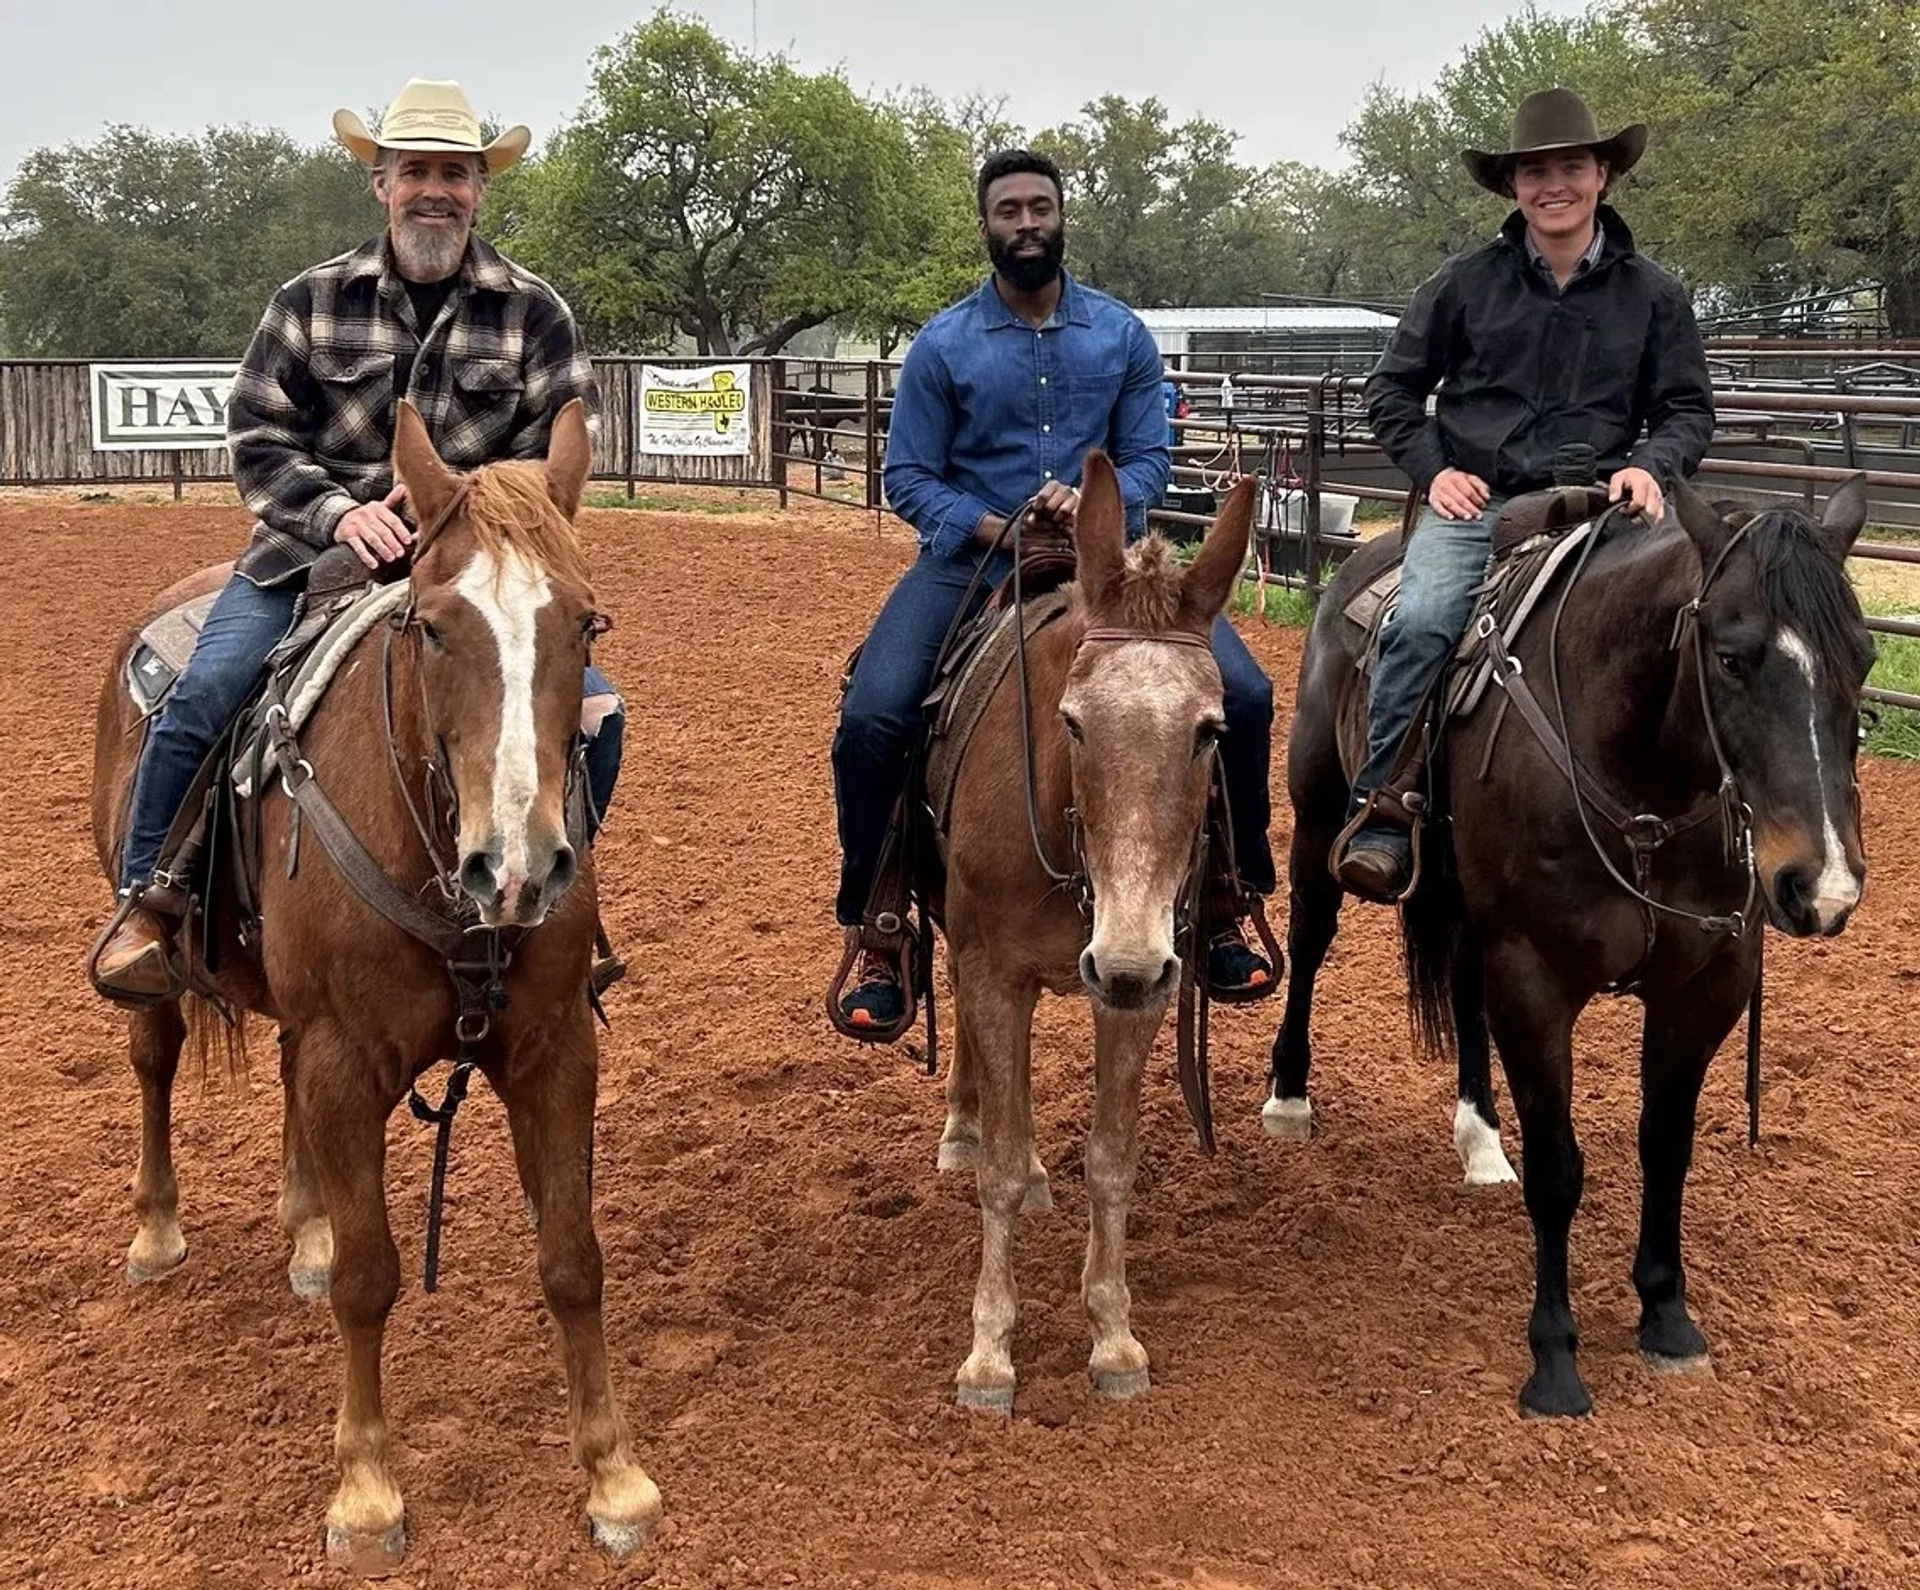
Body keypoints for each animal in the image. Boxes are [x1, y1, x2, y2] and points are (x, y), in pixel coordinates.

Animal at [90, 397, 660, 1566]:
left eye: (586, 625)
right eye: (435, 627)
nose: (519, 868)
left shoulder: (553, 1051)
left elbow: (573, 1258)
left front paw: (614, 1478)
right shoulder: (348, 1061)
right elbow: (371, 1278)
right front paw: (365, 1494)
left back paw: (303, 1226)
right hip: (164, 964)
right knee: (154, 1060)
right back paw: (158, 1233)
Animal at [933, 453, 1259, 1413]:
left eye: (1211, 730)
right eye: (1073, 721)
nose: (1120, 960)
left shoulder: (1143, 983)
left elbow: (1112, 1158)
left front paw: (1113, 1337)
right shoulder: (997, 972)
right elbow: (1001, 1169)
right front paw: (990, 1353)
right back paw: (963, 1128)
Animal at [1267, 474, 1866, 1413]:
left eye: (1864, 661)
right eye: (1733, 657)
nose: (1824, 885)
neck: (1641, 777)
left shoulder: (1707, 985)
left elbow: (1667, 1145)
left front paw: (1667, 1316)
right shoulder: (1534, 976)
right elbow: (1558, 1167)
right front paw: (1554, 1359)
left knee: (1462, 990)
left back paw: (1480, 1137)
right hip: (1322, 823)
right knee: (1310, 939)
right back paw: (1288, 1096)